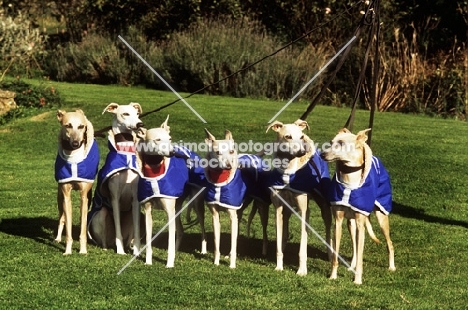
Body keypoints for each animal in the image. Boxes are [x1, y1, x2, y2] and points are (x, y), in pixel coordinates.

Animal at [54, 109, 99, 254]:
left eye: (81, 126)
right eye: (68, 125)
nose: (75, 143)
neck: (72, 157)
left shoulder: (84, 196)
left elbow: (83, 225)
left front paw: (83, 250)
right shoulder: (66, 195)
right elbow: (67, 225)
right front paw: (68, 251)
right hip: (59, 197)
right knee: (61, 217)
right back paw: (57, 238)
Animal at [86, 102, 144, 254]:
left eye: (137, 114)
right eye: (125, 114)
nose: (140, 124)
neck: (126, 153)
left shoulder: (135, 201)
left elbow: (137, 231)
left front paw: (136, 252)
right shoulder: (115, 198)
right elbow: (118, 228)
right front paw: (120, 251)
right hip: (100, 215)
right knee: (104, 240)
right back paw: (108, 247)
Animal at [132, 117, 205, 268]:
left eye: (169, 138)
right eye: (157, 139)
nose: (172, 153)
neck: (154, 173)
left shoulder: (169, 212)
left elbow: (170, 241)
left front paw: (169, 264)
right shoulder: (148, 210)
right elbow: (148, 241)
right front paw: (148, 261)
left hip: (196, 204)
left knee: (202, 229)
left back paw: (203, 250)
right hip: (177, 207)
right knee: (181, 231)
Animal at [266, 119, 332, 276]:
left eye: (300, 137)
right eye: (288, 136)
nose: (303, 152)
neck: (288, 171)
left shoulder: (304, 211)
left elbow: (303, 245)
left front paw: (302, 270)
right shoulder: (278, 209)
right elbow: (279, 241)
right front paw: (279, 266)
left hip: (324, 206)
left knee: (329, 230)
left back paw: (330, 254)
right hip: (287, 211)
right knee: (284, 233)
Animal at [322, 127, 394, 284]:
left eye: (341, 143)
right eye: (331, 141)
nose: (322, 154)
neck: (350, 180)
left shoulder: (361, 224)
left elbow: (361, 256)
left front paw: (358, 280)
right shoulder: (338, 222)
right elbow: (336, 255)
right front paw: (333, 276)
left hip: (381, 217)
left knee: (390, 244)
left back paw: (392, 267)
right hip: (351, 223)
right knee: (355, 247)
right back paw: (351, 266)